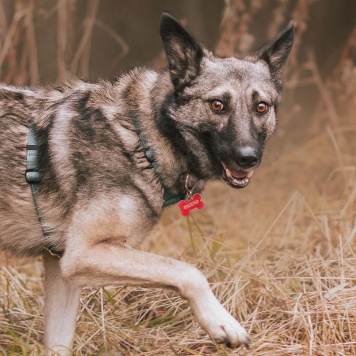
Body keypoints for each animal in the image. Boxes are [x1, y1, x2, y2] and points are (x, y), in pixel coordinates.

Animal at [0, 12, 294, 354]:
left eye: (261, 107)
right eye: (217, 105)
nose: (248, 158)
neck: (141, 137)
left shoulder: (63, 270)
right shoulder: (82, 255)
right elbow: (189, 271)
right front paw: (221, 322)